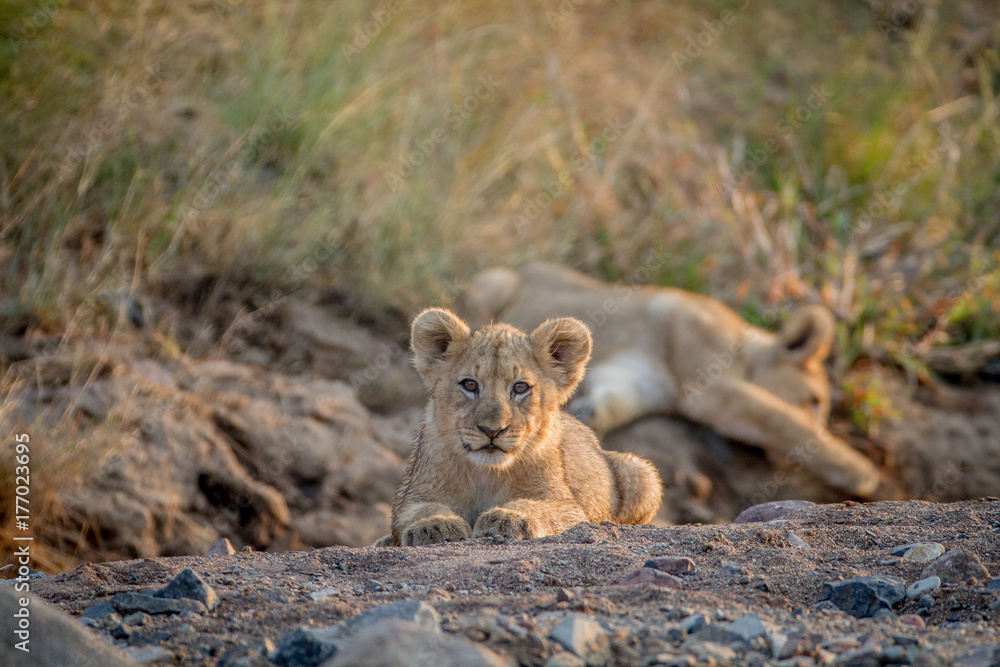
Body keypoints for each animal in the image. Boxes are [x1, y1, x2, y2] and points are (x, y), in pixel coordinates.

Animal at [377, 307, 662, 547]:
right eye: (470, 384)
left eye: (520, 387)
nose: (492, 430)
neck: (487, 473)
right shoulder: (414, 494)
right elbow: (420, 510)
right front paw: (435, 525)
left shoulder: (564, 502)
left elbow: (537, 507)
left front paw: (508, 517)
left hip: (641, 472)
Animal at [458, 263, 881, 498]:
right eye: (815, 401)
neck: (744, 346)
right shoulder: (709, 387)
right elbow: (780, 418)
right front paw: (862, 474)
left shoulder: (635, 385)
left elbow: (601, 409)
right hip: (495, 282)